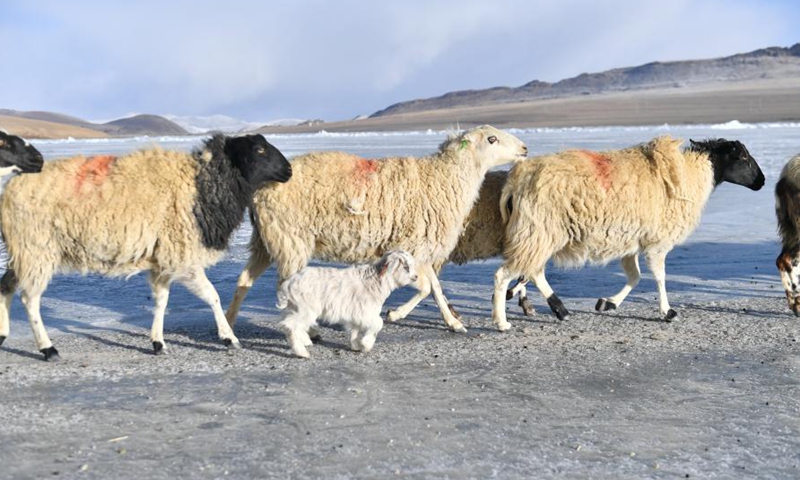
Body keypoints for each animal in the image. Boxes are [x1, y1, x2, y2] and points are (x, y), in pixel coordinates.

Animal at [0, 134, 292, 361]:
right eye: (259, 149)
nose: (289, 170)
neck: (200, 184)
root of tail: (10, 188)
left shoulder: (162, 259)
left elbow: (161, 301)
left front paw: (158, 342)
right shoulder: (182, 255)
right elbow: (213, 296)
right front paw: (228, 338)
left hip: (24, 251)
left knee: (6, 286)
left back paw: (3, 335)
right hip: (36, 249)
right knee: (29, 299)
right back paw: (48, 348)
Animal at [225, 125, 528, 333]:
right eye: (491, 139)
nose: (525, 149)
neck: (445, 178)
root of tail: (259, 191)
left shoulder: (423, 247)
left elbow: (434, 288)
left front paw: (453, 323)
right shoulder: (414, 244)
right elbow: (426, 288)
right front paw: (395, 314)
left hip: (266, 241)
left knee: (243, 280)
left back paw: (228, 325)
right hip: (291, 240)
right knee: (285, 286)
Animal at [278, 250, 418, 358]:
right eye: (406, 267)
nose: (416, 276)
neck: (376, 281)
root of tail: (289, 284)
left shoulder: (355, 312)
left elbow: (355, 330)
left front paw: (356, 346)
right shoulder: (365, 312)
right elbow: (379, 323)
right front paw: (366, 344)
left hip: (295, 308)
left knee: (293, 324)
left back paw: (305, 341)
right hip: (306, 309)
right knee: (289, 326)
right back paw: (301, 352)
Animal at [491, 136, 765, 331]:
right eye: (743, 157)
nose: (762, 182)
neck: (691, 174)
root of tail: (517, 181)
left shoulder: (631, 241)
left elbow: (635, 277)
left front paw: (608, 303)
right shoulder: (657, 241)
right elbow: (659, 277)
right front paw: (668, 312)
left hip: (540, 233)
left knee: (533, 269)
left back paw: (556, 308)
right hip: (540, 230)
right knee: (506, 274)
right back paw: (504, 321)